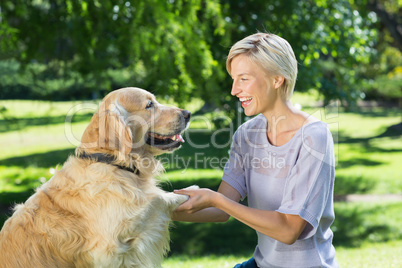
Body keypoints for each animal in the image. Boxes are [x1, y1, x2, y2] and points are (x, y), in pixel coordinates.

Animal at [0, 87, 196, 266]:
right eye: (149, 105)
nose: (188, 113)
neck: (111, 162)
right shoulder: (109, 249)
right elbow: (157, 199)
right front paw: (189, 192)